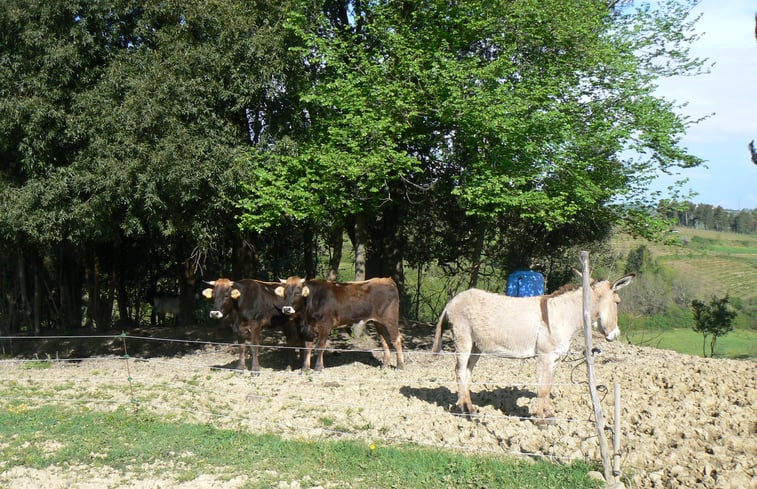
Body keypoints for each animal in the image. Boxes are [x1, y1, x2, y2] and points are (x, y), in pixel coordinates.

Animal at [274, 274, 404, 370]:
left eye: (297, 293)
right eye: (285, 293)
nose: (286, 309)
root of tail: (386, 279)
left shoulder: (325, 326)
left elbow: (320, 346)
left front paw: (318, 367)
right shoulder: (308, 328)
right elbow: (307, 347)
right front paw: (305, 368)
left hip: (390, 319)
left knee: (396, 339)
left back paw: (400, 365)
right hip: (379, 322)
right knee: (385, 341)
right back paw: (384, 365)